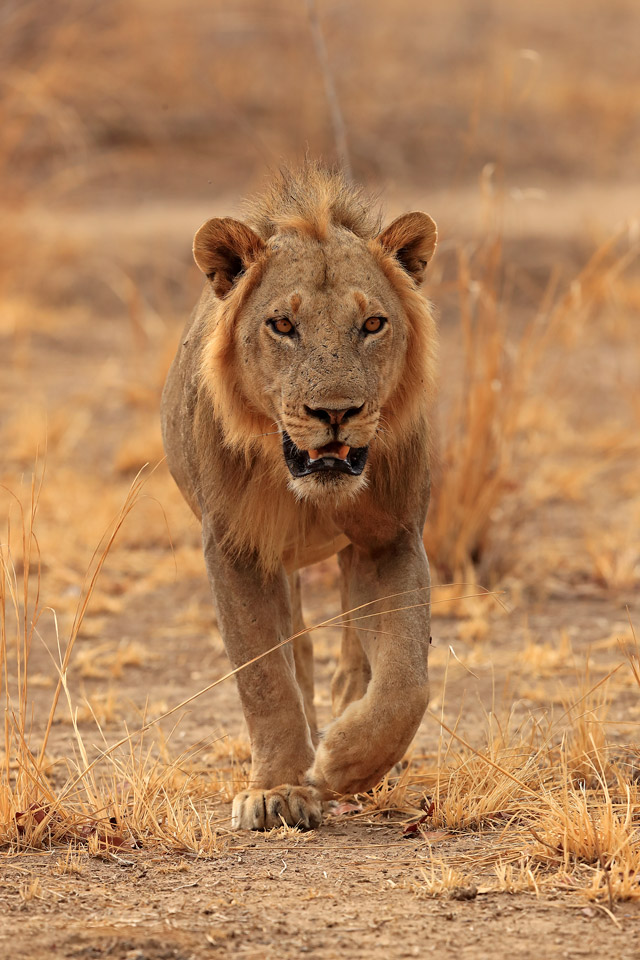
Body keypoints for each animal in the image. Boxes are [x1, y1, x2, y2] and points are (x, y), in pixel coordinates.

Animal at [161, 163, 438, 830]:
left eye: (372, 324)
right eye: (283, 325)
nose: (335, 413)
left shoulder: (391, 538)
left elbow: (406, 677)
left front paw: (346, 762)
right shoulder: (236, 549)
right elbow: (265, 676)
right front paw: (281, 789)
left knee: (358, 654)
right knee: (299, 649)